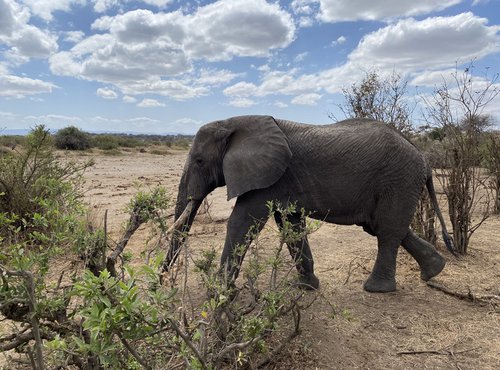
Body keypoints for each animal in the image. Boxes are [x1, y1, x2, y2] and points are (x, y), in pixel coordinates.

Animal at [165, 115, 458, 292]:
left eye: (200, 161)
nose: (163, 279)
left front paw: (220, 291)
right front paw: (306, 287)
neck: (232, 122)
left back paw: (376, 289)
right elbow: (291, 225)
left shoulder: (268, 177)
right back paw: (434, 270)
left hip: (397, 179)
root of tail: (424, 159)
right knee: (384, 226)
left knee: (386, 231)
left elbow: (243, 222)